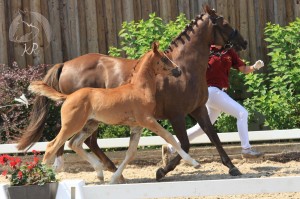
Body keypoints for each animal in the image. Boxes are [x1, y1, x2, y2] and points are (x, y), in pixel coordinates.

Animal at [28, 42, 199, 184]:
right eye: (164, 58)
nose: (178, 70)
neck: (139, 89)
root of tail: (68, 97)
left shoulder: (137, 126)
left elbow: (131, 153)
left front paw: (115, 178)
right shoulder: (147, 120)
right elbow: (170, 137)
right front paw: (194, 163)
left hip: (89, 125)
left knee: (74, 143)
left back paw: (100, 173)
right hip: (72, 125)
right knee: (52, 145)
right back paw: (44, 176)